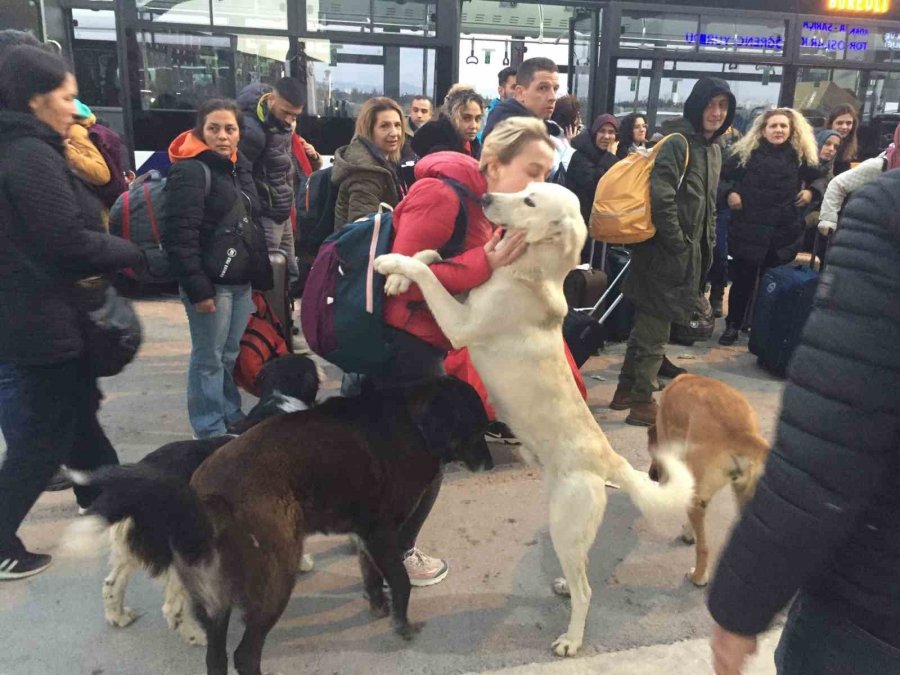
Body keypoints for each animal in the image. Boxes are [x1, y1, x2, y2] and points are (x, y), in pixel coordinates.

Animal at [372, 182, 696, 656]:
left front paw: (394, 264)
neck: (527, 273)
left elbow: (430, 277)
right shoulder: (466, 295)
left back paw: (571, 640)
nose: (486, 197)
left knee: (586, 591)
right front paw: (399, 273)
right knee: (581, 571)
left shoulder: (460, 325)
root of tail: (610, 459)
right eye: (524, 189)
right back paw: (563, 584)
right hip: (568, 525)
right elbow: (438, 259)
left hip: (565, 521)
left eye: (529, 201)